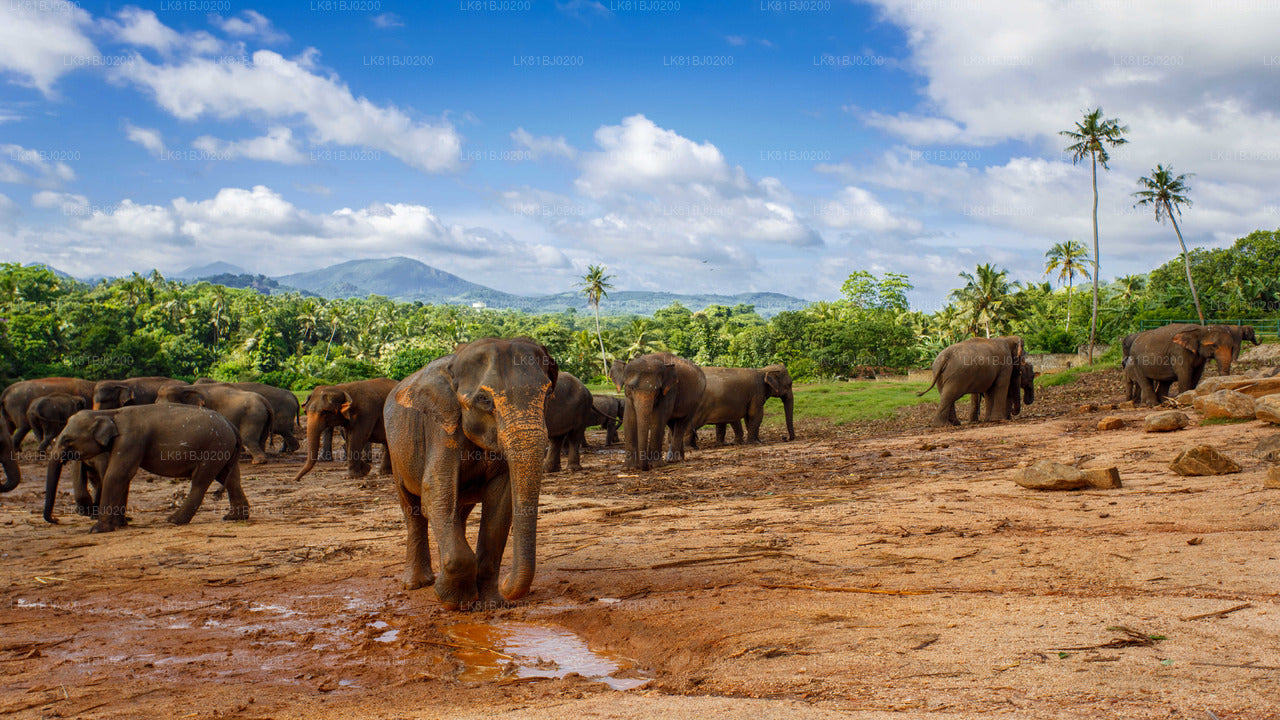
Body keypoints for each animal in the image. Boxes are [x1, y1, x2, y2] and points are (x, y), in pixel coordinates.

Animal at [43, 399, 248, 530]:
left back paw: (173, 520)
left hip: (214, 447)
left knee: (200, 481)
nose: (56, 520)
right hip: (223, 449)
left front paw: (97, 529)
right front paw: (121, 525)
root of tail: (231, 425)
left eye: (68, 440)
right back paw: (234, 517)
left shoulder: (131, 440)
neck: (109, 413)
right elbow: (123, 478)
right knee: (230, 479)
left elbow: (116, 475)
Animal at [381, 335, 558, 604]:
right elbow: (436, 489)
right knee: (412, 509)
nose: (506, 585)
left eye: (547, 393)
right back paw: (417, 584)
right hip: (396, 452)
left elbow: (500, 500)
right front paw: (453, 600)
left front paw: (490, 603)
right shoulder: (441, 426)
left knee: (458, 510)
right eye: (484, 400)